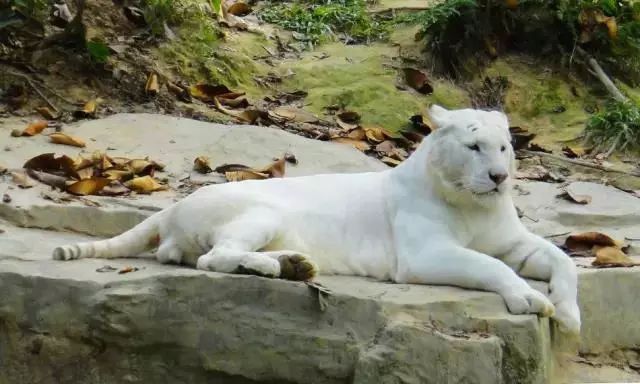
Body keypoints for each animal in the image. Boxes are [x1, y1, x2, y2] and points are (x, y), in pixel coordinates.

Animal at [53, 104, 580, 332]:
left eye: (504, 147)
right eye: (474, 146)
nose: (498, 177)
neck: (476, 203)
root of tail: (174, 205)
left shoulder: (513, 240)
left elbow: (563, 260)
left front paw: (570, 314)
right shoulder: (425, 255)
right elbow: (490, 265)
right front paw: (531, 301)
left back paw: (295, 265)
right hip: (258, 213)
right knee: (214, 258)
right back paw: (276, 267)